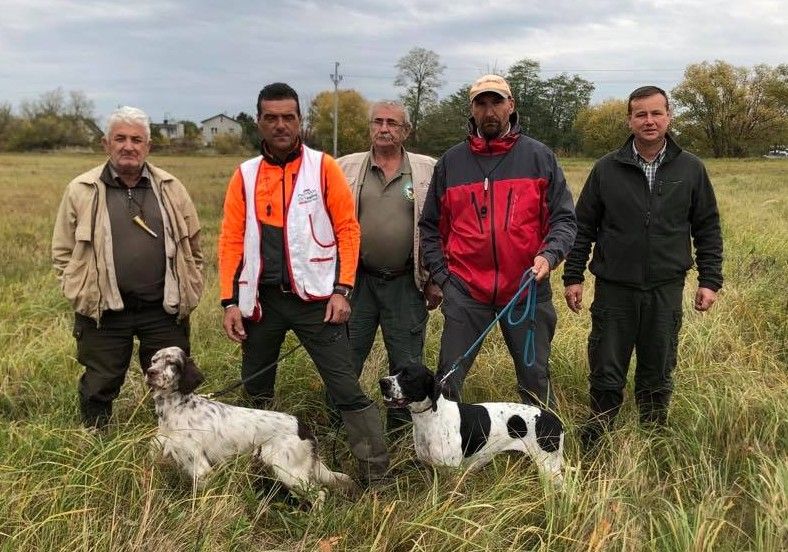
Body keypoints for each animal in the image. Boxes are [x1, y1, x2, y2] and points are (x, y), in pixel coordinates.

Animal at [146, 348, 356, 506]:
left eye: (173, 363)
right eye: (154, 360)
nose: (150, 372)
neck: (177, 408)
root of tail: (303, 427)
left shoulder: (199, 465)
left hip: (289, 472)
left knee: (320, 494)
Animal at [378, 362, 564, 488]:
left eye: (408, 376)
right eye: (394, 372)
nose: (382, 382)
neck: (431, 418)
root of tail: (556, 420)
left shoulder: (453, 474)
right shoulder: (430, 470)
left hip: (549, 468)